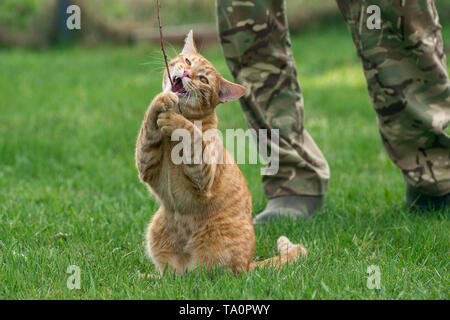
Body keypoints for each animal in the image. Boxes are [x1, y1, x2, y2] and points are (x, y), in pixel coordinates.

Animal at [134, 30, 306, 276]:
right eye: (188, 62)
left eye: (203, 80)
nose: (186, 73)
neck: (169, 139)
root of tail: (248, 265)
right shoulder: (146, 164)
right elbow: (147, 128)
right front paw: (160, 102)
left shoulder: (203, 174)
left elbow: (191, 135)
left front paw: (177, 121)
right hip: (156, 229)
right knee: (170, 274)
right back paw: (149, 277)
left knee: (202, 275)